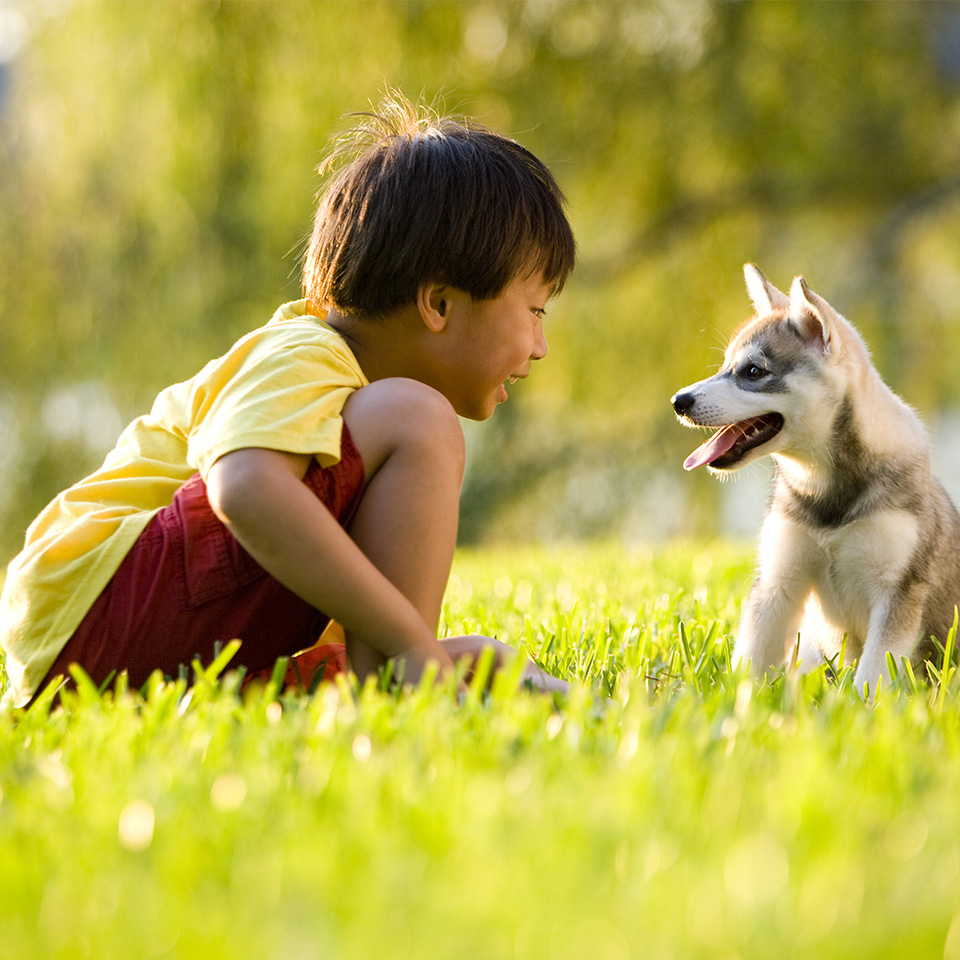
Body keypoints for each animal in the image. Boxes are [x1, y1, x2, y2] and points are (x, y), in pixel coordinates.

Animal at [672, 266, 960, 692]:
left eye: (753, 371)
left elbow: (871, 675)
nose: (678, 401)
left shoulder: (896, 593)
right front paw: (732, 703)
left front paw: (861, 706)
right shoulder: (778, 582)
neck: (827, 493)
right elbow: (749, 661)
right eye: (725, 367)